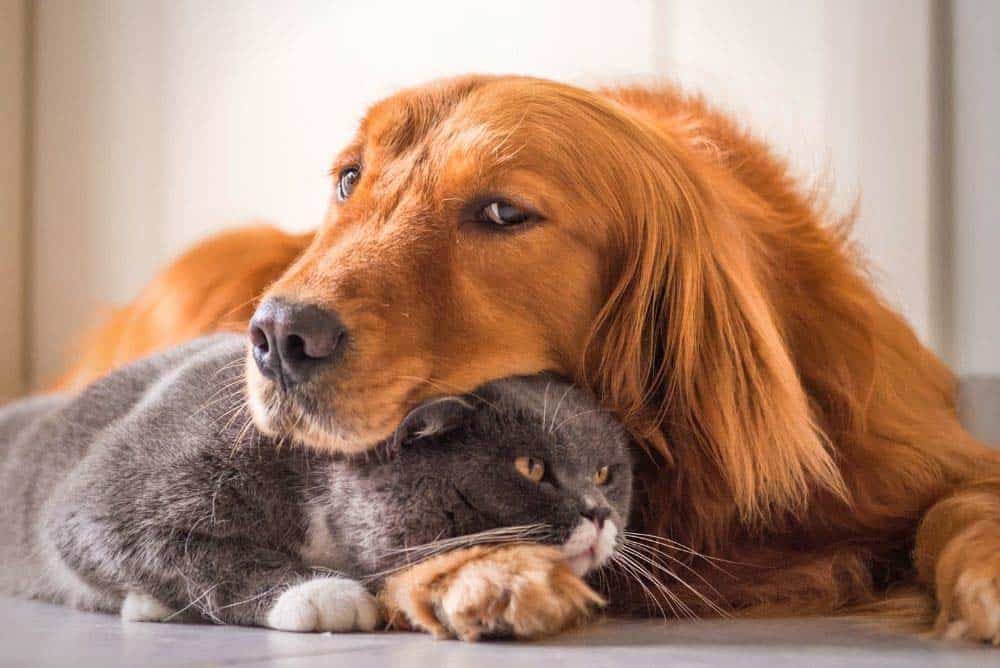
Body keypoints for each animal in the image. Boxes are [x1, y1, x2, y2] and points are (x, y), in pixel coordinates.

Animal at [0, 334, 624, 632]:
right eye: (530, 468)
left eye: (605, 472)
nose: (598, 512)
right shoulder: (118, 490)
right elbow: (179, 550)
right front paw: (322, 593)